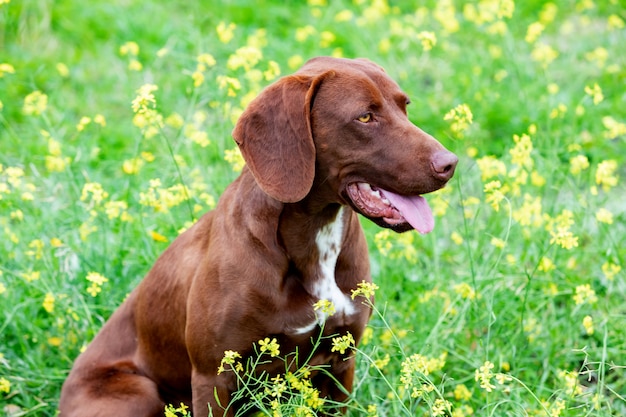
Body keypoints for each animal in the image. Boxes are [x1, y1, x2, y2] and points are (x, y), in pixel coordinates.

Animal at [58, 56, 456, 416]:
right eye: (364, 117)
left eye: (405, 107)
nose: (449, 163)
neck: (314, 243)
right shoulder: (214, 377)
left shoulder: (341, 364)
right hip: (139, 394)